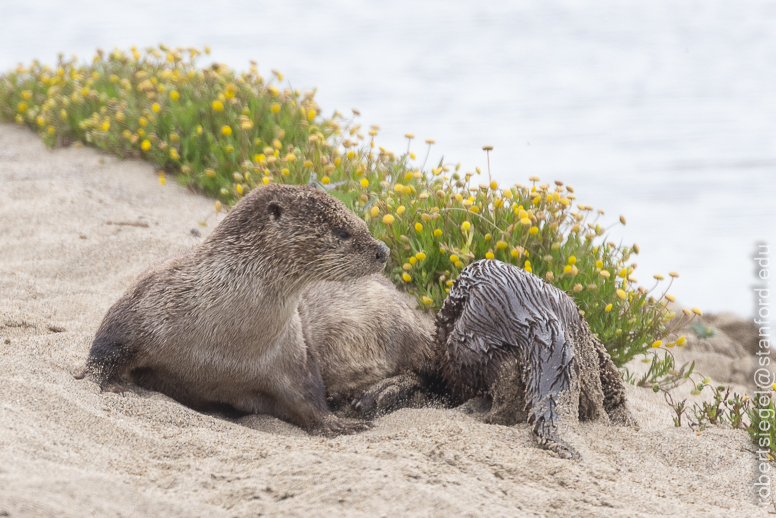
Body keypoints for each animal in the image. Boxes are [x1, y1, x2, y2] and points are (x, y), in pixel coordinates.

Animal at [76, 185, 392, 436]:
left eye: (364, 223)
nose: (383, 250)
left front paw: (338, 423)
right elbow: (105, 347)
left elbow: (310, 397)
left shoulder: (294, 356)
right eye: (343, 232)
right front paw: (107, 384)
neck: (224, 343)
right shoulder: (142, 305)